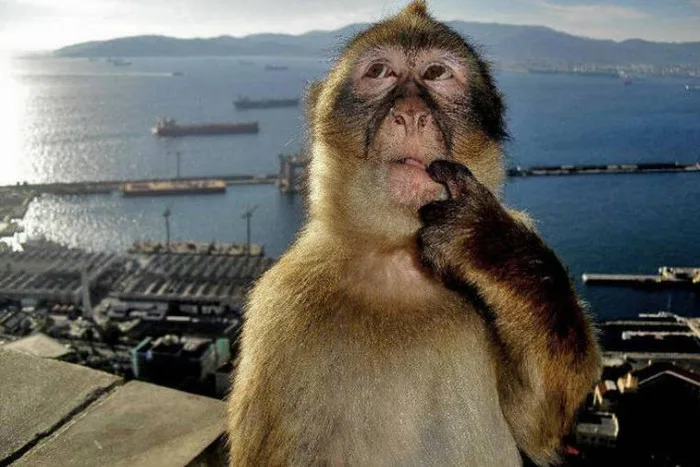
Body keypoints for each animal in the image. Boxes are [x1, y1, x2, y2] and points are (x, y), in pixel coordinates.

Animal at [227, 1, 601, 465]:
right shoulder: (280, 311)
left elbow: (537, 420)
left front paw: (486, 242)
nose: (410, 114)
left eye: (437, 73)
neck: (398, 259)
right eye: (380, 72)